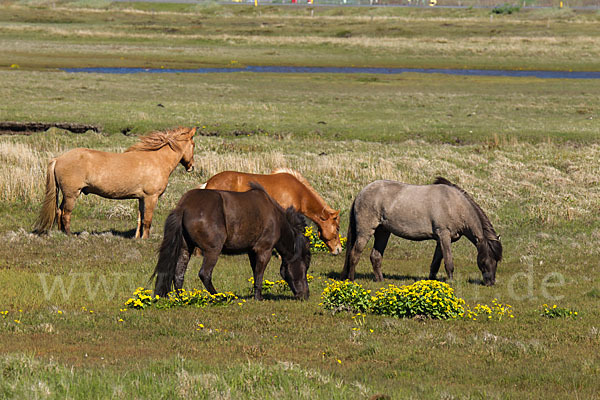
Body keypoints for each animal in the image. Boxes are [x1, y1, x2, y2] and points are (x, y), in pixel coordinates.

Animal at [33, 126, 197, 238]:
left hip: (67, 194)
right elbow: (147, 220)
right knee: (66, 213)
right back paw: (69, 234)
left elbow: (140, 219)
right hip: (71, 194)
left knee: (59, 211)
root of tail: (58, 159)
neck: (157, 160)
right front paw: (145, 238)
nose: (192, 166)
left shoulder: (141, 198)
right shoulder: (151, 197)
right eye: (193, 145)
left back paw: (61, 232)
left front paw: (137, 238)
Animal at [152, 184, 312, 300]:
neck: (277, 218)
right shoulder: (264, 250)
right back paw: (219, 297)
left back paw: (183, 298)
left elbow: (255, 273)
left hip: (186, 248)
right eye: (305, 268)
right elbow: (259, 273)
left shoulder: (252, 251)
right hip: (213, 250)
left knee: (178, 274)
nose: (305, 295)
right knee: (204, 274)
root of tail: (184, 206)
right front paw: (258, 297)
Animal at [340, 177, 504, 284]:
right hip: (365, 231)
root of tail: (361, 193)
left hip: (383, 232)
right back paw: (351, 280)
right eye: (485, 259)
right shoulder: (444, 235)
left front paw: (432, 281)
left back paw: (380, 280)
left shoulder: (441, 240)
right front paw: (451, 282)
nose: (491, 282)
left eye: (497, 260)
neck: (454, 204)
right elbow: (448, 262)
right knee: (354, 254)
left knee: (375, 256)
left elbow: (436, 263)